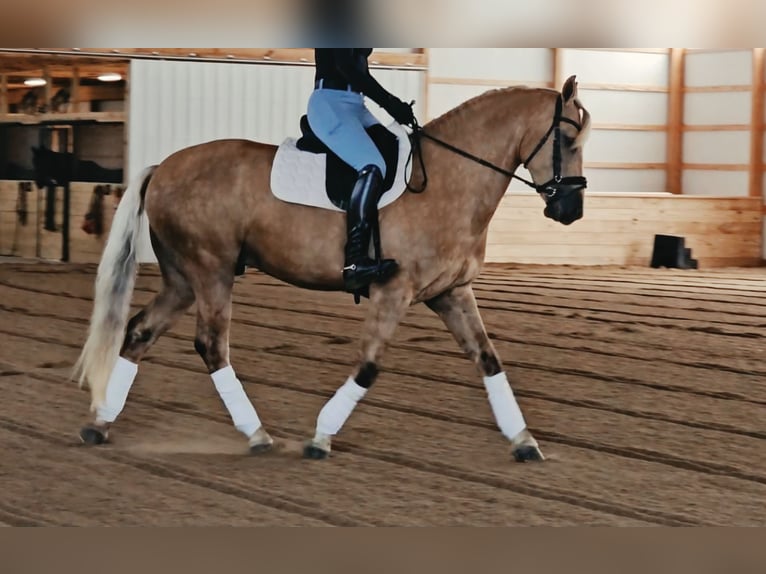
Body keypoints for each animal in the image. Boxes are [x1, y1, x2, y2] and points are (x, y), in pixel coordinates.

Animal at [73, 75, 591, 463]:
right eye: (567, 139)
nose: (571, 211)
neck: (449, 179)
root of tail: (162, 168)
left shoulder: (452, 292)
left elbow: (488, 359)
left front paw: (524, 441)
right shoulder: (393, 291)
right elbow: (369, 366)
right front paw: (320, 437)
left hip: (183, 279)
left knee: (141, 332)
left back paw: (99, 423)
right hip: (211, 271)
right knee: (211, 345)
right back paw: (256, 434)